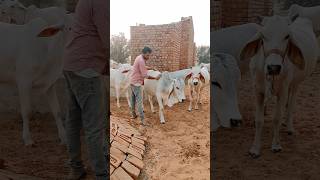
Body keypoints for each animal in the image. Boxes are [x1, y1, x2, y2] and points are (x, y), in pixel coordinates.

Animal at [0, 17, 70, 146]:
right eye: (69, 28)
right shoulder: (23, 81)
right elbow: (26, 111)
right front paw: (27, 139)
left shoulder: (50, 84)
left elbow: (57, 111)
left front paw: (64, 138)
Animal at [239, 15, 318, 158]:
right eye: (263, 36)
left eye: (287, 36)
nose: (274, 68)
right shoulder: (257, 90)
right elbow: (259, 120)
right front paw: (255, 148)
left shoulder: (283, 91)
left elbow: (276, 118)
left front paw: (276, 145)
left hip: (296, 83)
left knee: (291, 103)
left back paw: (289, 126)